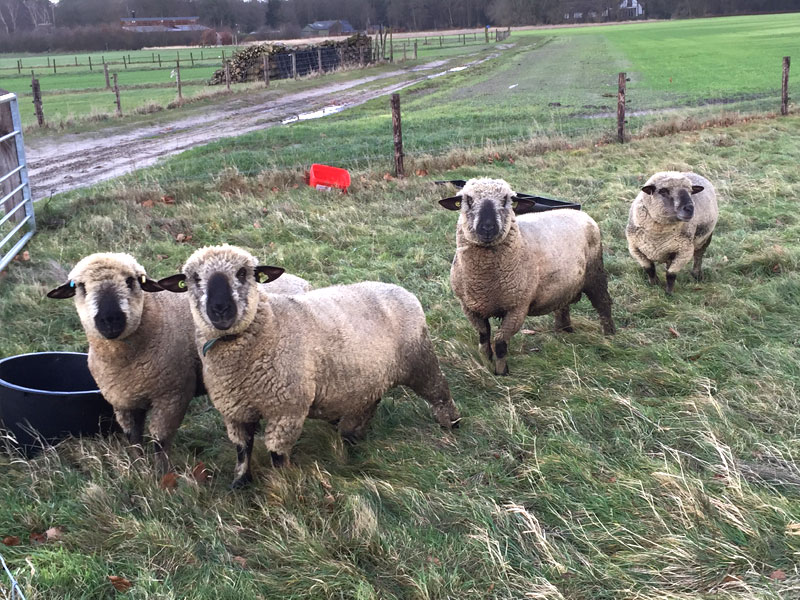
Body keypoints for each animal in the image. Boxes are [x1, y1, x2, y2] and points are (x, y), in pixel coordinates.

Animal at [47, 253, 202, 473]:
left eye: (130, 281)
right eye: (80, 286)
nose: (110, 318)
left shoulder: (173, 395)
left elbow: (160, 441)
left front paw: (162, 475)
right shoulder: (124, 400)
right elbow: (133, 439)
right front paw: (139, 468)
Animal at [158, 244, 460, 488]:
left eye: (243, 273)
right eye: (194, 279)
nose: (220, 309)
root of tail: (401, 290)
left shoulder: (287, 410)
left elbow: (277, 454)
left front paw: (282, 486)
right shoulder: (235, 411)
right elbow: (243, 450)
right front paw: (240, 484)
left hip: (420, 360)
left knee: (440, 392)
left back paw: (451, 425)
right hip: (370, 376)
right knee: (369, 403)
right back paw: (352, 438)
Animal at [439, 177, 615, 376]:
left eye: (506, 200)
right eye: (468, 200)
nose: (487, 227)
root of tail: (579, 212)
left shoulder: (518, 307)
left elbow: (500, 341)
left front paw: (502, 372)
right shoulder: (470, 307)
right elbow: (484, 336)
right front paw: (486, 362)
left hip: (595, 272)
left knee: (603, 303)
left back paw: (609, 334)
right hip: (564, 283)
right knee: (563, 305)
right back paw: (564, 330)